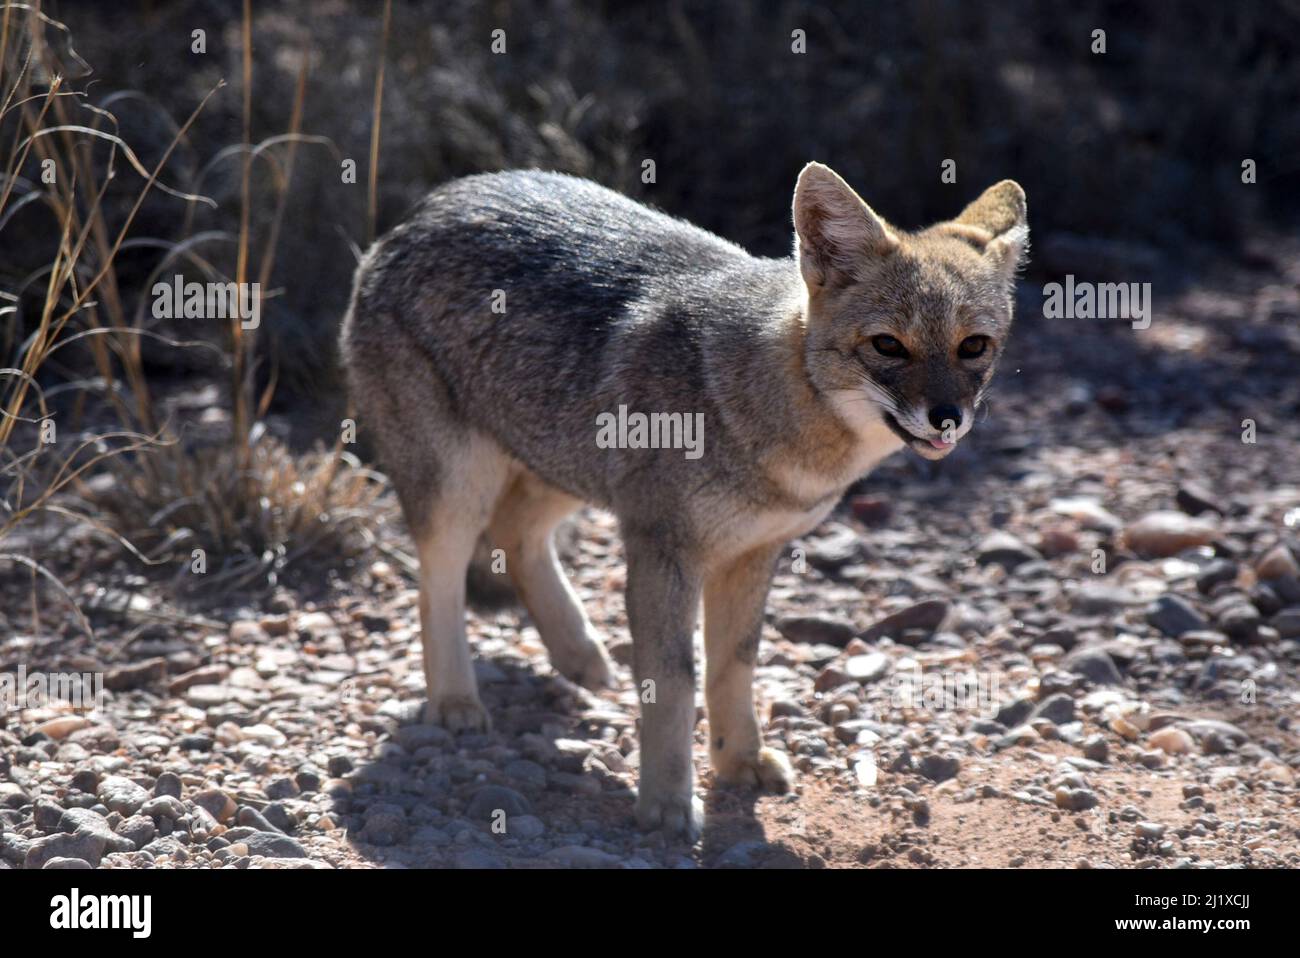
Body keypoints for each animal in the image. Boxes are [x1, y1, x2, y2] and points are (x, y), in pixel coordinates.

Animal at [340, 163, 1028, 840]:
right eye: (888, 345)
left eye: (974, 346)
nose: (947, 418)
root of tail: (425, 208)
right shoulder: (661, 551)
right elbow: (673, 684)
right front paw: (667, 803)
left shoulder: (752, 553)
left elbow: (732, 668)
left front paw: (739, 760)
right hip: (462, 488)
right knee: (437, 583)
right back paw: (456, 699)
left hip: (564, 466)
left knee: (516, 534)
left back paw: (579, 653)